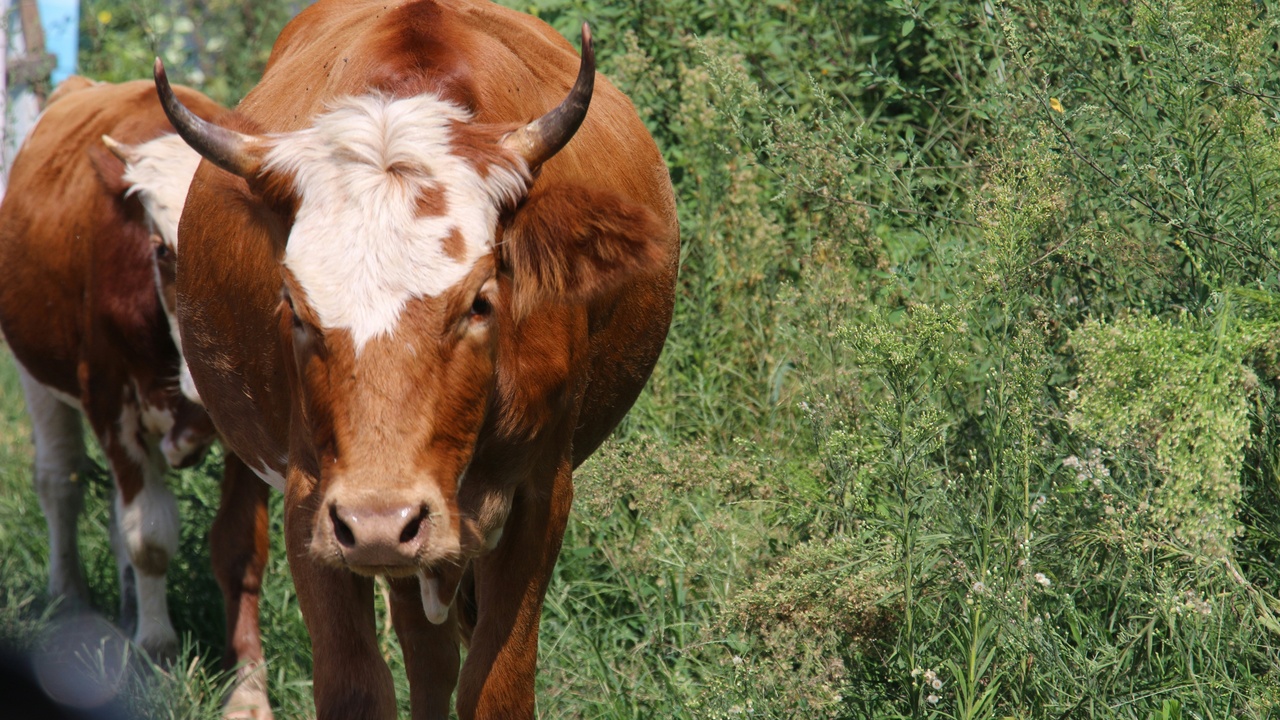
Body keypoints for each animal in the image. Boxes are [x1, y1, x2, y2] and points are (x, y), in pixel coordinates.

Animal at [0, 78, 273, 719]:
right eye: (163, 250)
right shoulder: (110, 403)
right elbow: (149, 538)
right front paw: (156, 657)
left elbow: (240, 550)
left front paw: (248, 687)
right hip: (36, 378)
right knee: (62, 482)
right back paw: (72, 600)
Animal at [157, 0, 679, 717]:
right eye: (296, 309)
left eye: (480, 303)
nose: (379, 520)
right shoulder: (314, 501)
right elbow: (358, 683)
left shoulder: (541, 493)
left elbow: (496, 682)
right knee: (423, 649)